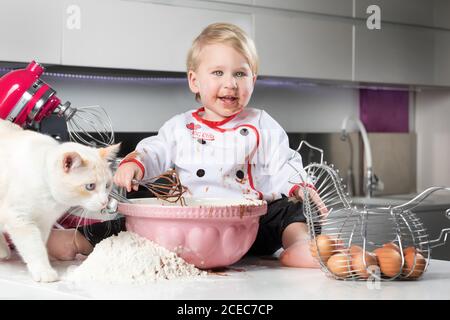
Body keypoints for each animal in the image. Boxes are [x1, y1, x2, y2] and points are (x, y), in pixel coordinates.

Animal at [0, 119, 119, 282]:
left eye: (107, 185)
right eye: (90, 186)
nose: (104, 202)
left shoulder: (43, 223)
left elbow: (41, 244)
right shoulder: (19, 218)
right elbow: (34, 247)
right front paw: (44, 271)